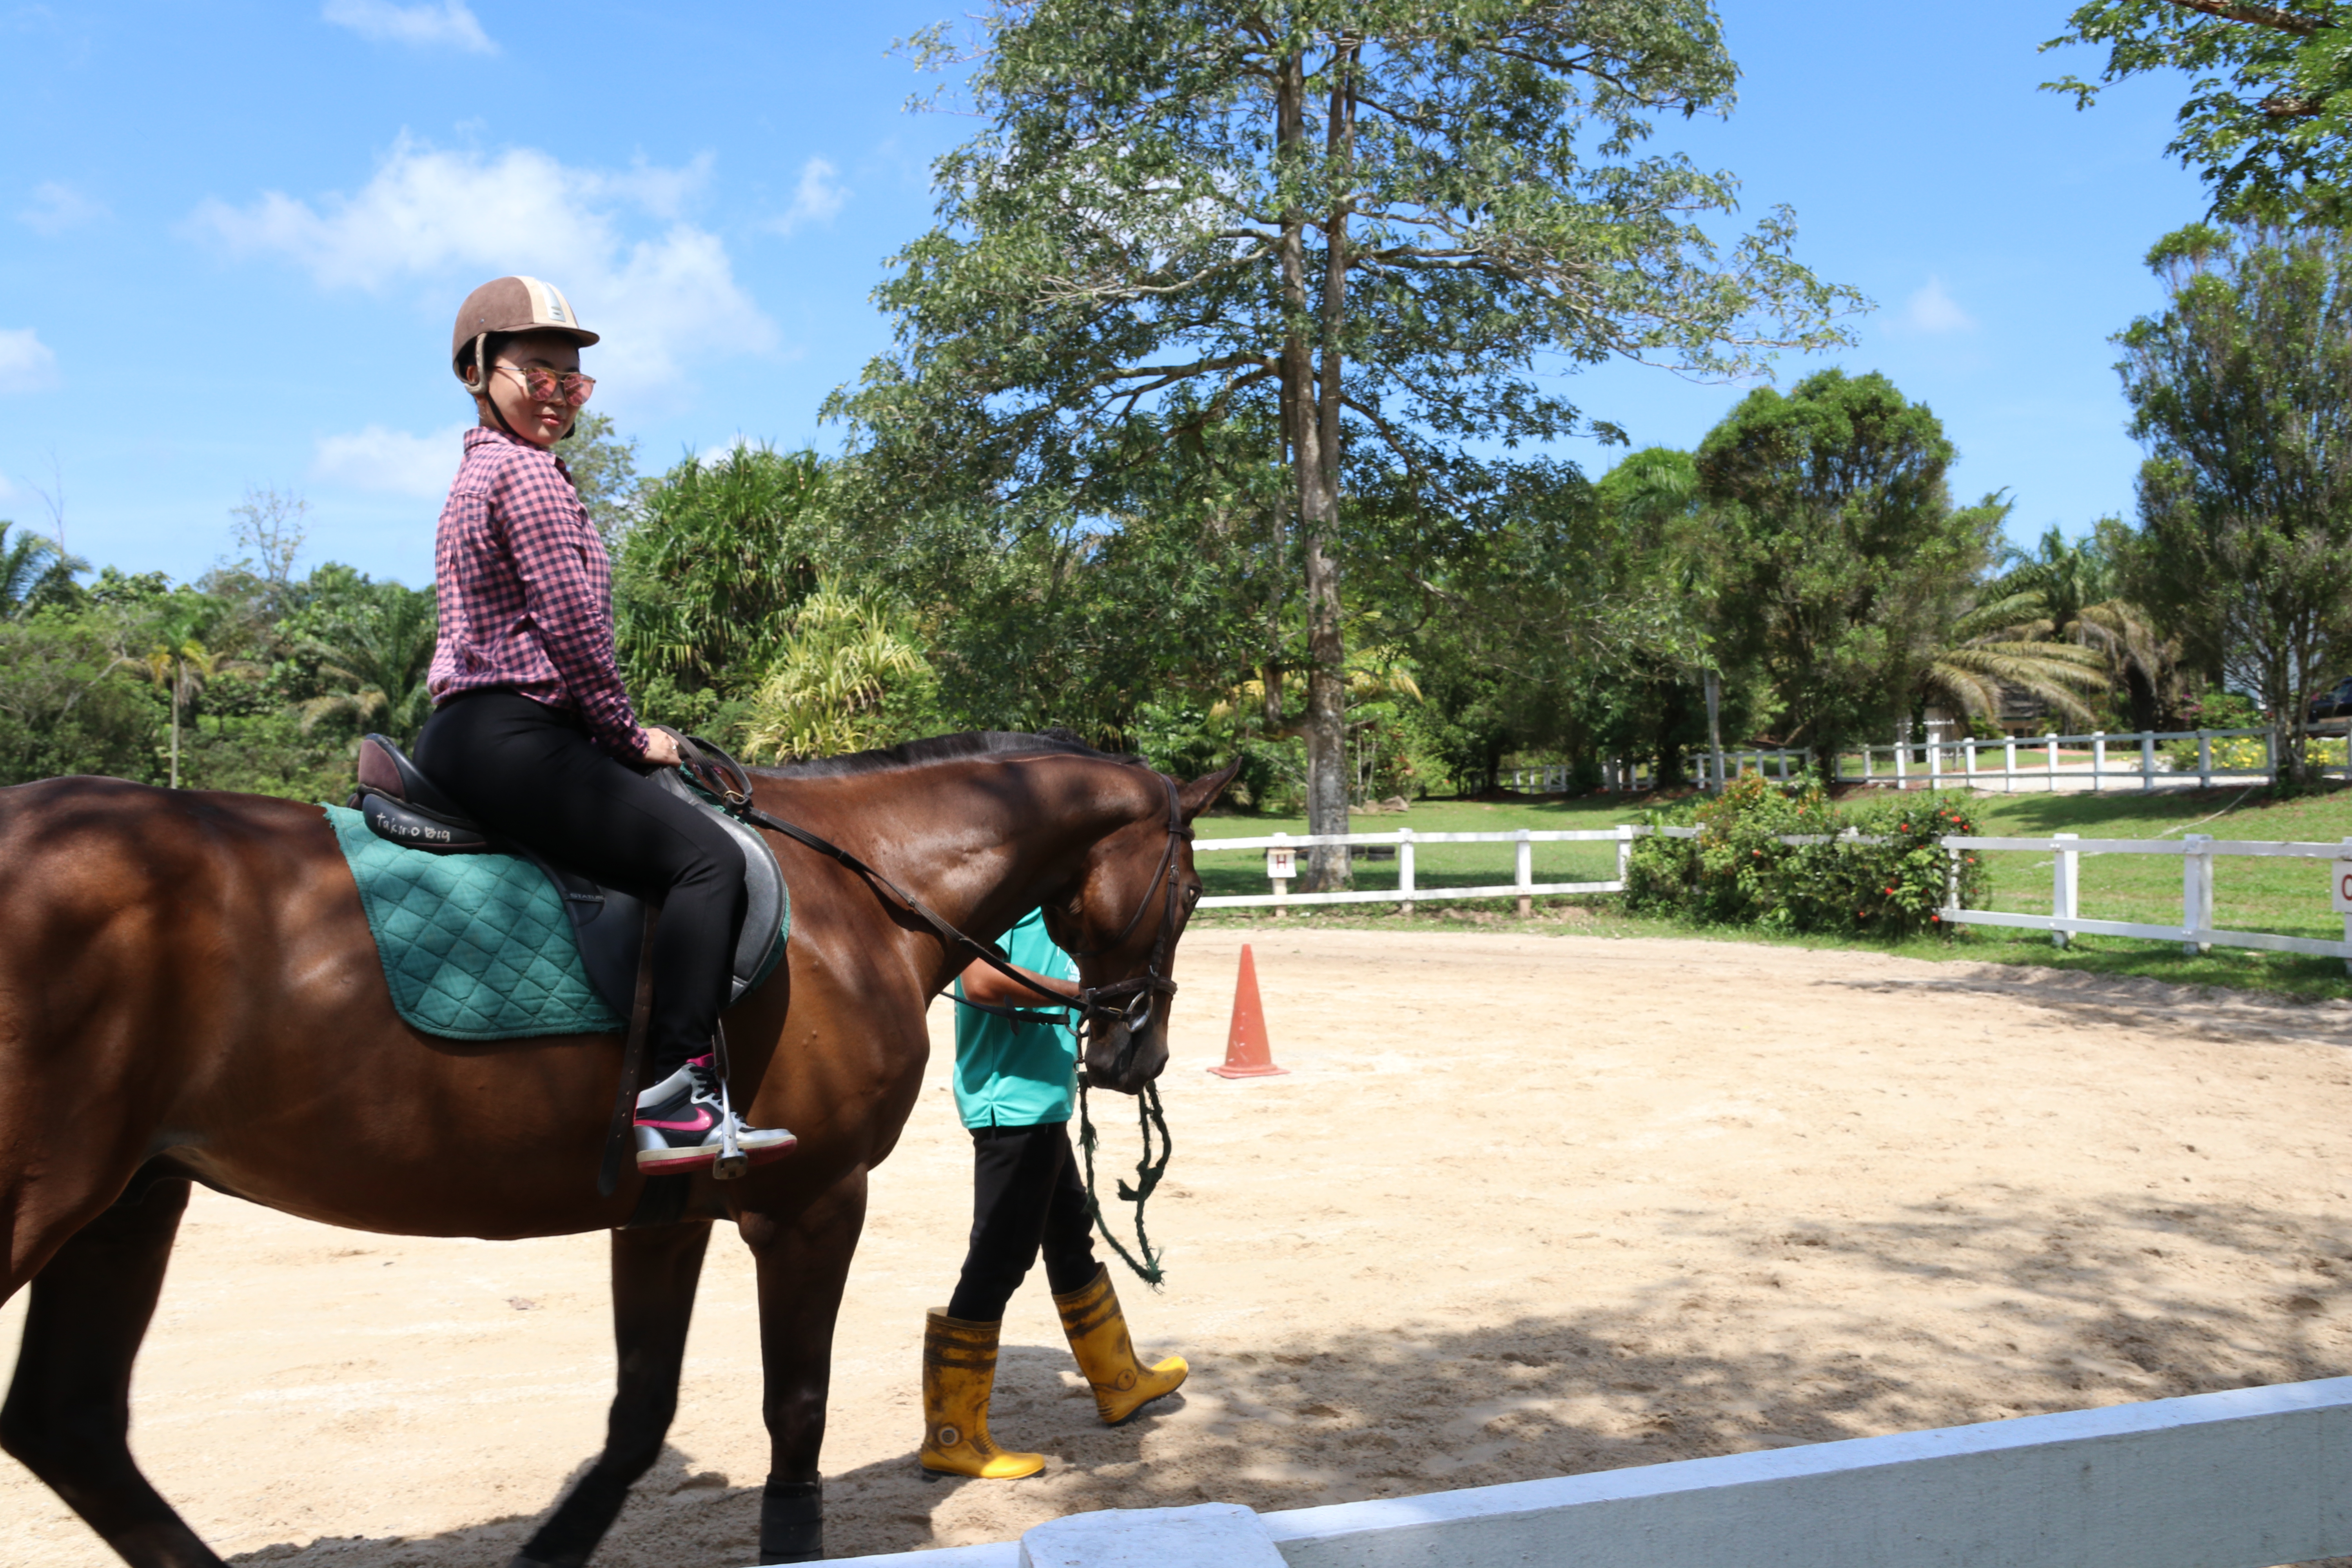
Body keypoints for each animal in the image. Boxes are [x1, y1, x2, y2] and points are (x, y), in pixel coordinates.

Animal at [0, 731, 1237, 1568]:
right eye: (1188, 889)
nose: (1137, 1051)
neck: (861, 885)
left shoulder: (664, 1214)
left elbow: (640, 1414)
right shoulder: (814, 1204)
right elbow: (796, 1408)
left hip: (129, 1204)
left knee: (72, 1428)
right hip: (49, 1204)